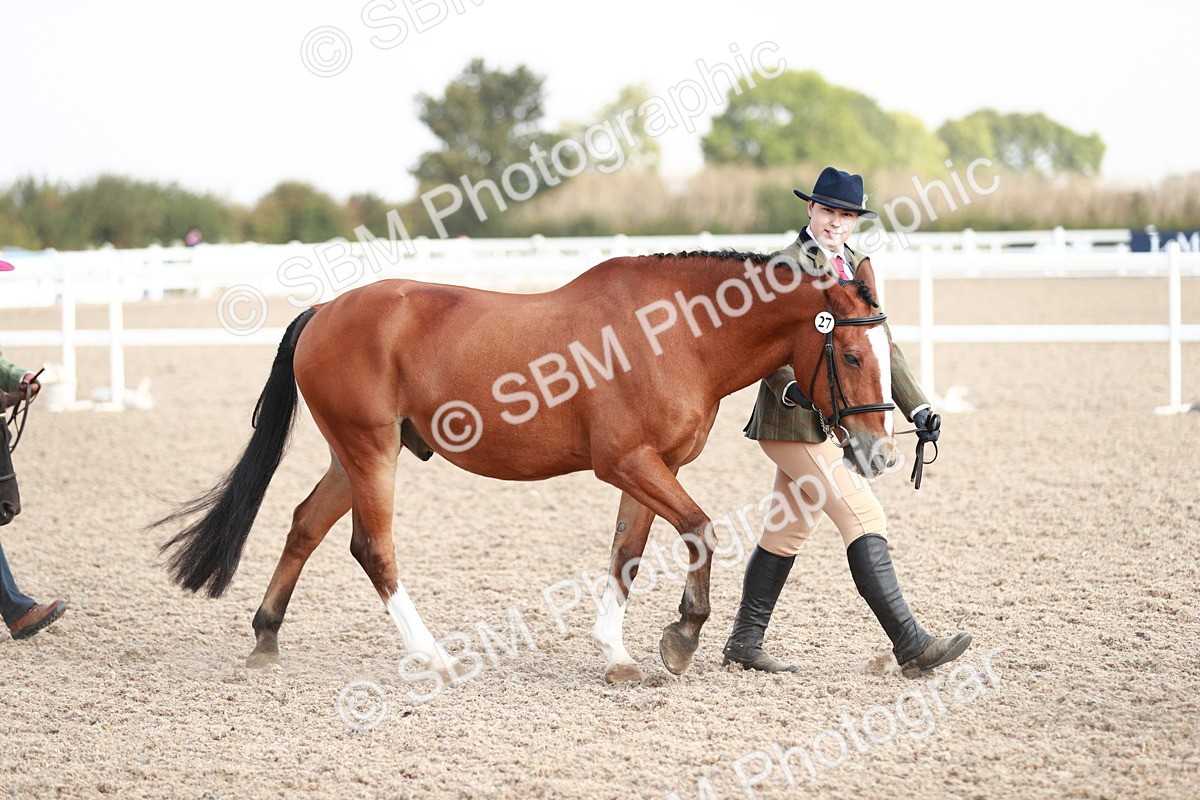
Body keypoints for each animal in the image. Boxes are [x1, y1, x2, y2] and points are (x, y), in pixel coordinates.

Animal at [154, 249, 898, 684]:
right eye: (851, 355)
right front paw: (682, 637)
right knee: (372, 547)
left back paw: (266, 637)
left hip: (353, 455)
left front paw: (618, 656)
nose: (880, 453)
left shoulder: (648, 467)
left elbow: (626, 554)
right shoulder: (628, 463)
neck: (677, 332)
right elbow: (701, 530)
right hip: (370, 452)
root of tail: (325, 310)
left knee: (306, 525)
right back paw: (432, 656)